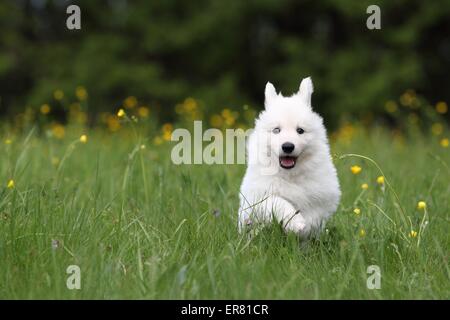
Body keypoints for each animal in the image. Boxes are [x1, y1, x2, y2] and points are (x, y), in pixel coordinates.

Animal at [239, 76, 342, 239]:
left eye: (300, 130)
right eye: (276, 130)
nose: (288, 146)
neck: (291, 174)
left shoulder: (322, 197)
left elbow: (314, 215)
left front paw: (304, 230)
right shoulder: (258, 198)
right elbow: (278, 202)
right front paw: (296, 223)